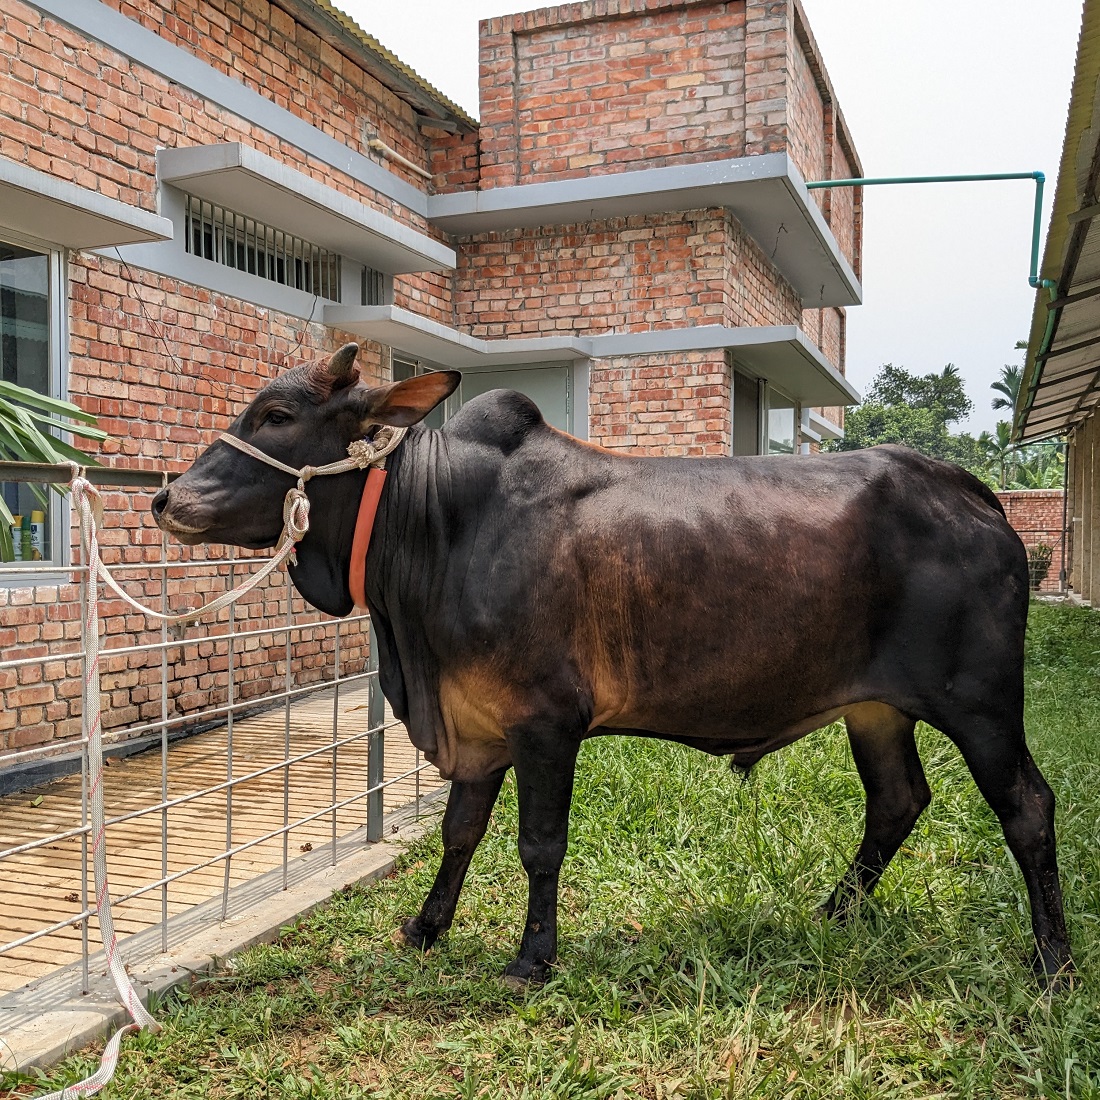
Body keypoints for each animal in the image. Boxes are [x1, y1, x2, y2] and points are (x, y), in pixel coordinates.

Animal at [150, 347, 1069, 985]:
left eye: (276, 414)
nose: (166, 498)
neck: (438, 524)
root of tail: (970, 490)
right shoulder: (477, 724)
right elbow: (460, 832)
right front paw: (425, 927)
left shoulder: (545, 722)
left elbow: (539, 843)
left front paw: (532, 957)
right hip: (876, 709)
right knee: (897, 801)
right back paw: (832, 912)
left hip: (979, 699)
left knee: (1026, 805)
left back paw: (1052, 960)